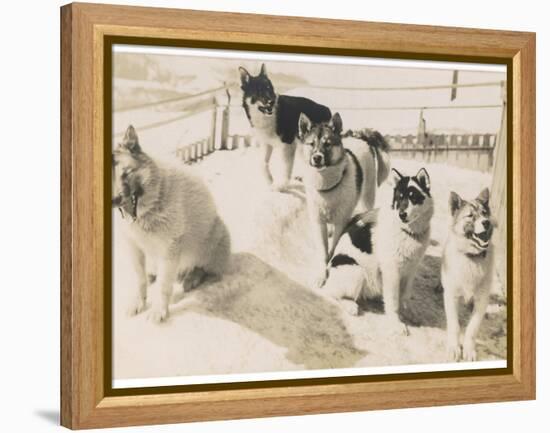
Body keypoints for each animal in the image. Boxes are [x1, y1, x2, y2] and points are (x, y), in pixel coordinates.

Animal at [112, 124, 233, 320]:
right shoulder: (133, 246)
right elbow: (139, 279)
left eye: (127, 173)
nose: (114, 200)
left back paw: (191, 279)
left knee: (205, 269)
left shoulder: (169, 249)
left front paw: (159, 311)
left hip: (214, 237)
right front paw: (139, 302)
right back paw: (154, 274)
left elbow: (163, 286)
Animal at [298, 114, 392, 290]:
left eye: (327, 144)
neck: (328, 187)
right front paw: (321, 274)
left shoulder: (341, 222)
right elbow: (323, 251)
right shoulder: (318, 222)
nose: (317, 157)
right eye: (311, 144)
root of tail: (360, 136)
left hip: (367, 195)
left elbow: (333, 247)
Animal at [324, 166, 436, 334]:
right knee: (330, 292)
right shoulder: (392, 271)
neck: (407, 232)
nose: (402, 214)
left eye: (414, 197)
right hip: (357, 272)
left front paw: (408, 312)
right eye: (399, 197)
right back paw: (350, 305)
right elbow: (393, 301)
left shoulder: (411, 270)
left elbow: (405, 295)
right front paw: (395, 323)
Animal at [442, 187, 498, 360]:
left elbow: (472, 329)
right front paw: (454, 348)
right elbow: (454, 325)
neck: (472, 258)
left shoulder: (481, 300)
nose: (486, 222)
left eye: (485, 213)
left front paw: (468, 349)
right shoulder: (452, 296)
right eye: (470, 216)